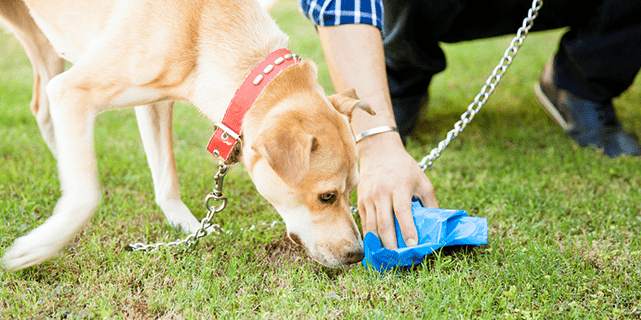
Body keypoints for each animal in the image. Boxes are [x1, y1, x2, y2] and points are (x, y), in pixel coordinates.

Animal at [0, 0, 370, 270]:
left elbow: (166, 177)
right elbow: (86, 196)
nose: (357, 255)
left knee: (41, 107)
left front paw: (190, 230)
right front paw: (38, 247)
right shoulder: (74, 90)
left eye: (353, 188)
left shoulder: (155, 101)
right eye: (327, 196)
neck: (202, 24)